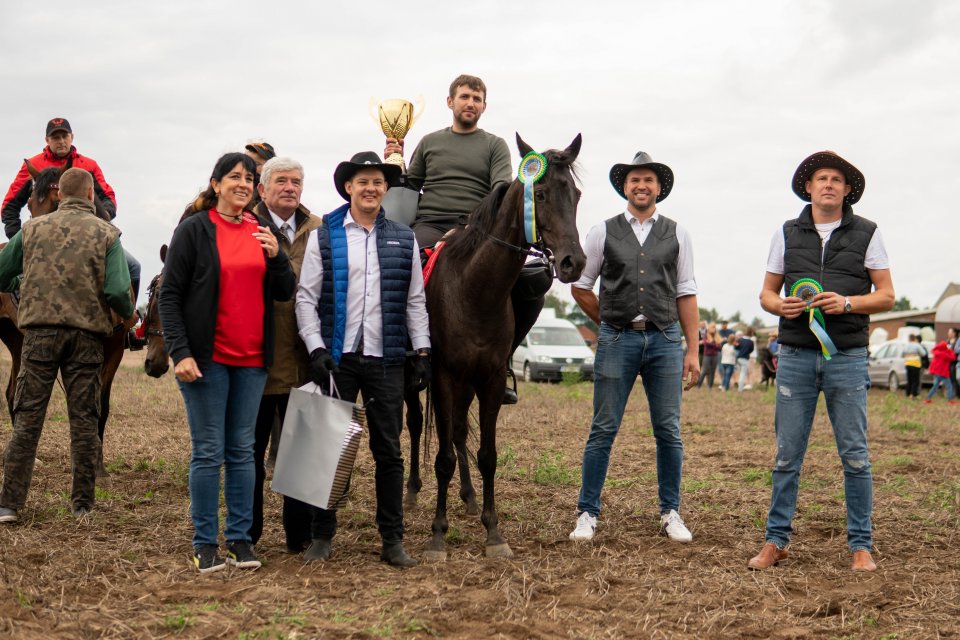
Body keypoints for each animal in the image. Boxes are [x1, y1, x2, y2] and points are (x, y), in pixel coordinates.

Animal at [0, 159, 131, 476]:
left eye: (57, 200)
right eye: (30, 204)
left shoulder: (115, 348)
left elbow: (101, 405)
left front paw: (98, 466)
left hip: (16, 341)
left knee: (12, 394)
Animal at [422, 134, 584, 560]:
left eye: (576, 194)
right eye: (539, 193)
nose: (573, 262)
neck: (473, 290)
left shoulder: (490, 380)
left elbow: (487, 456)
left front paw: (493, 532)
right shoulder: (443, 376)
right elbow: (442, 458)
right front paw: (437, 535)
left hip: (467, 386)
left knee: (458, 432)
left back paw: (468, 497)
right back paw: (410, 493)